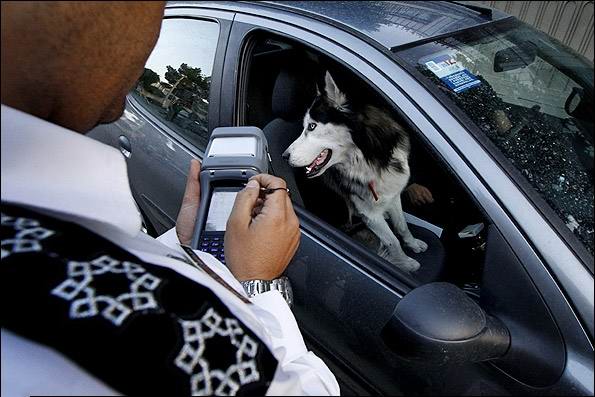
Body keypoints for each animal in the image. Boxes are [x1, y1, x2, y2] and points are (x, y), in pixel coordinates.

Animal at [282, 71, 426, 270]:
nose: (284, 156)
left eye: (311, 126)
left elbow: (402, 226)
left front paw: (413, 244)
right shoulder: (369, 214)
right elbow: (392, 241)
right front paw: (405, 263)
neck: (370, 159)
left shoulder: (393, 195)